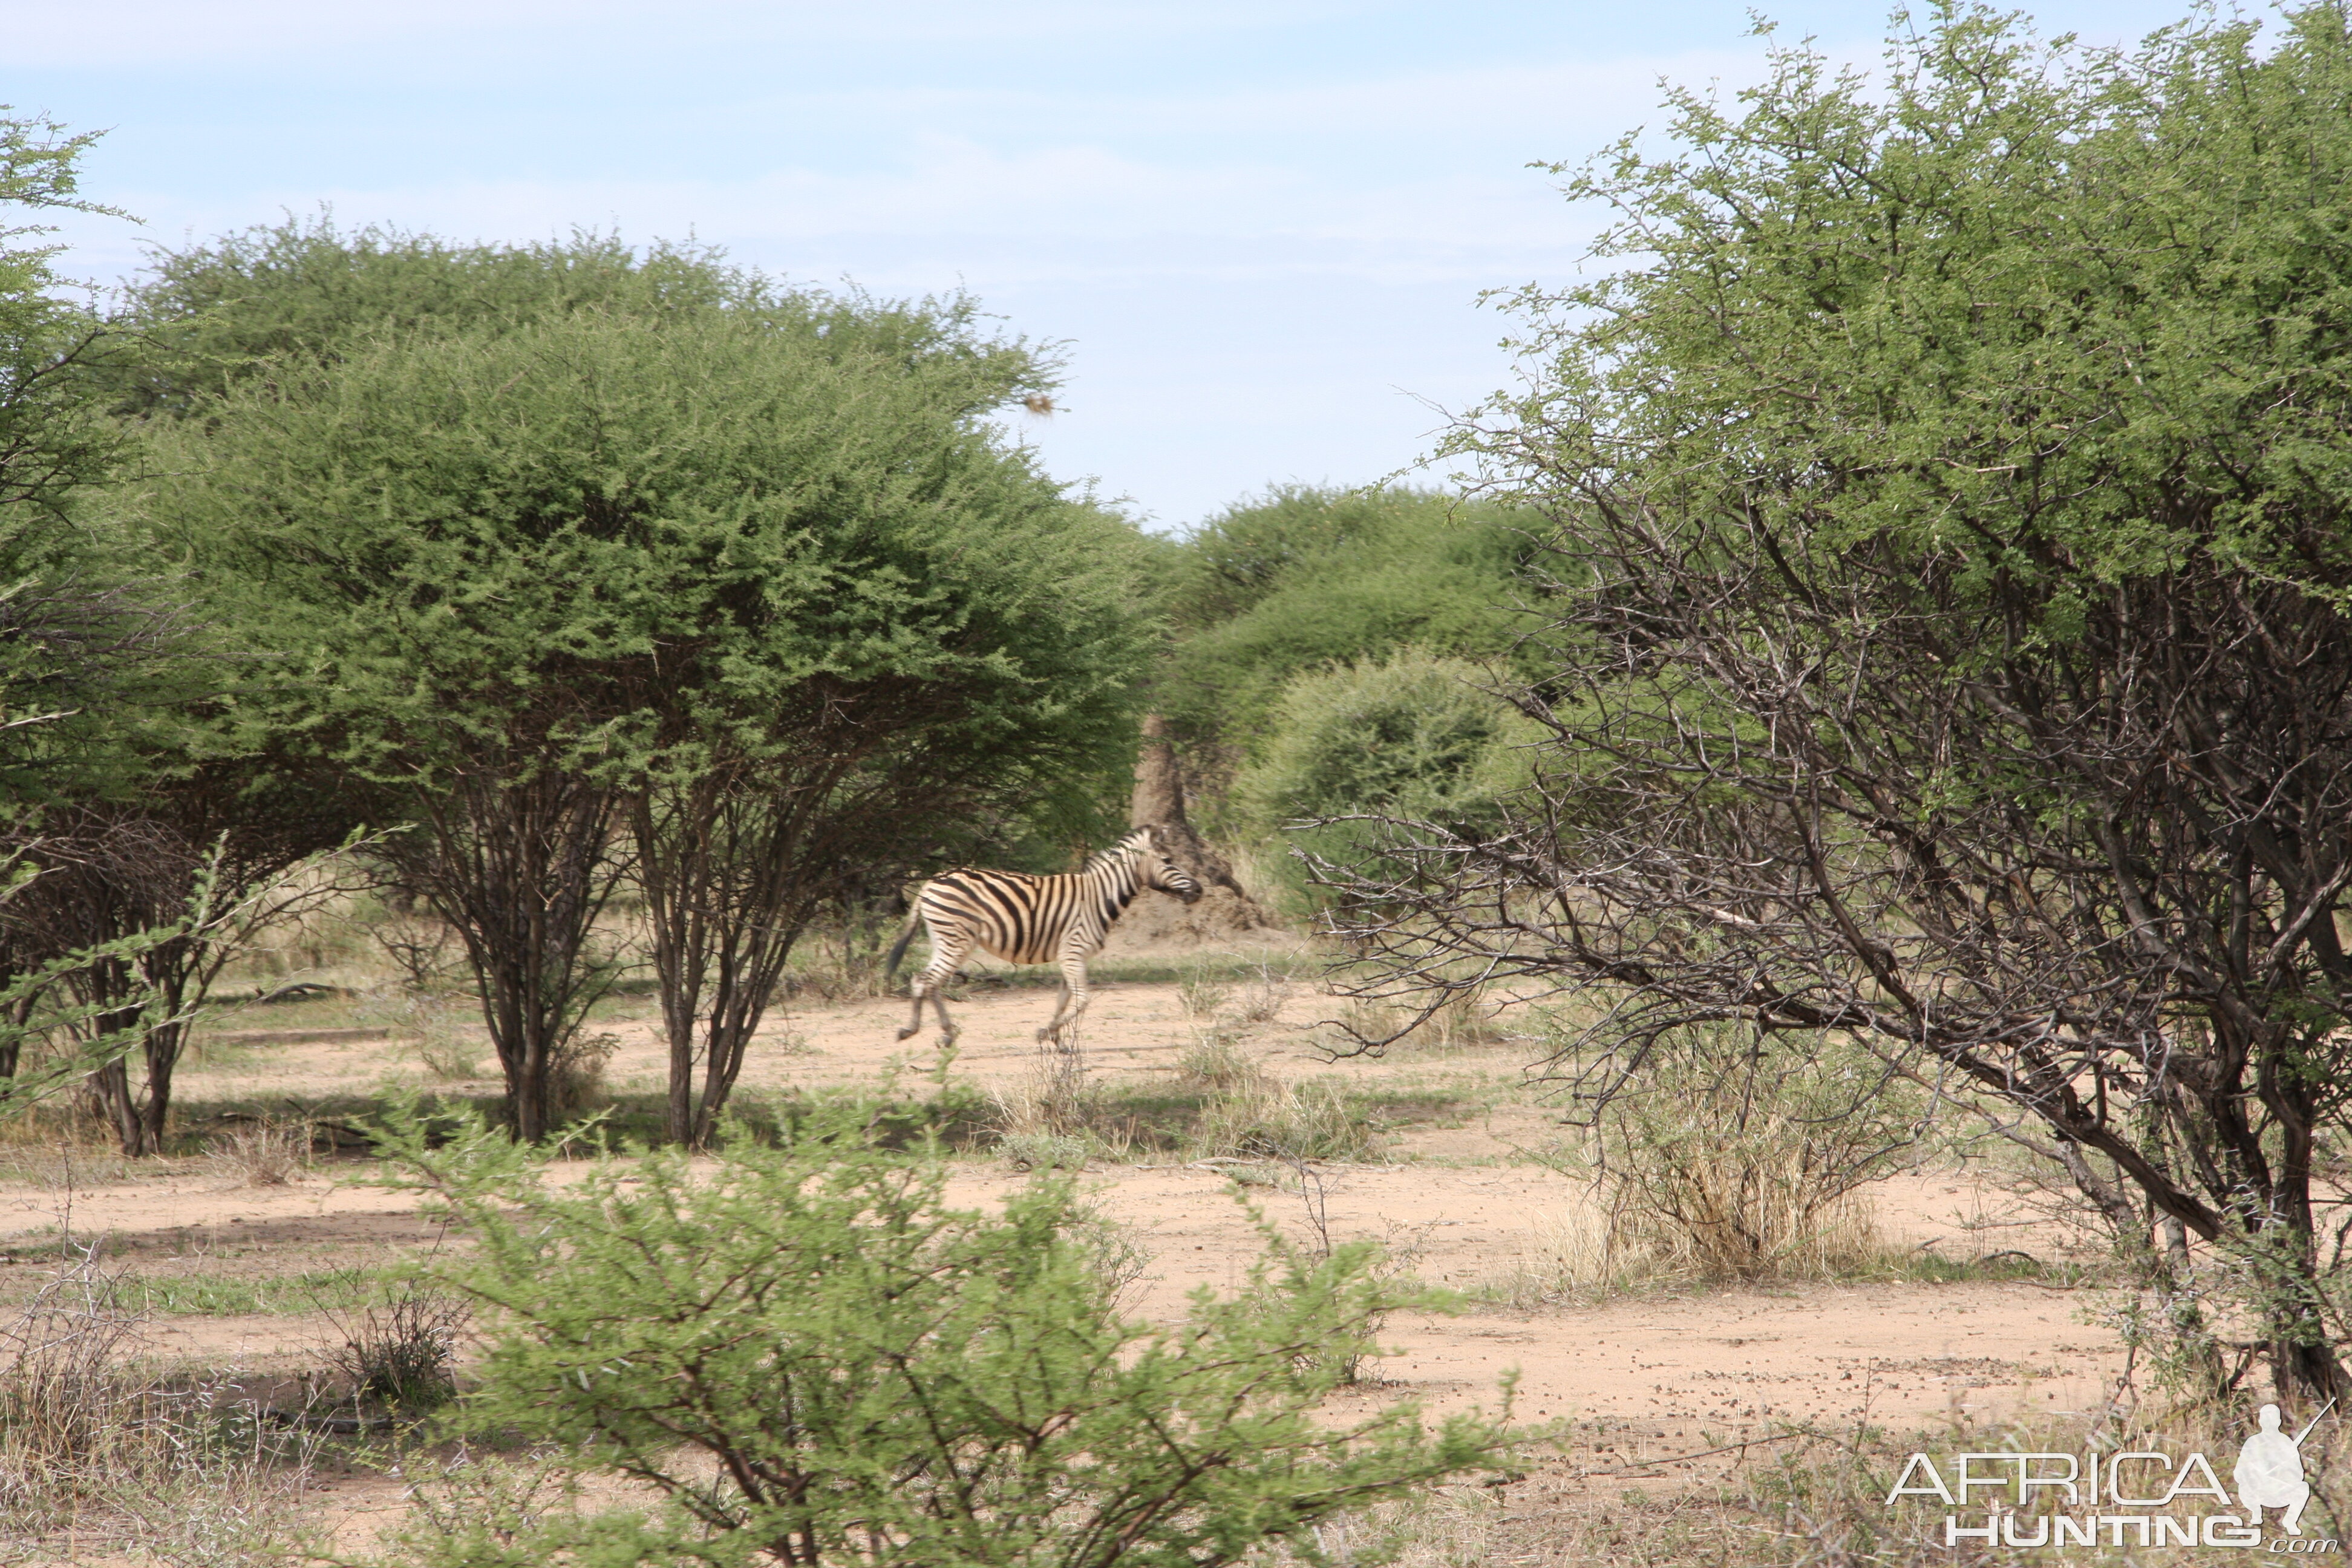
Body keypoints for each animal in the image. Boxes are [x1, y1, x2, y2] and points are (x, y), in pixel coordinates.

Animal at [889, 827, 1204, 1048]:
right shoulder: (1074, 951)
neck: (1099, 897)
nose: (1199, 890)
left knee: (928, 982)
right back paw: (913, 1031)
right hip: (955, 940)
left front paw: (1056, 1039)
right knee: (925, 981)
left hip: (943, 939)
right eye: (1168, 860)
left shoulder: (1069, 954)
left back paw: (945, 1034)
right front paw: (1047, 1033)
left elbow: (1065, 1000)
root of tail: (931, 881)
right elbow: (1082, 1000)